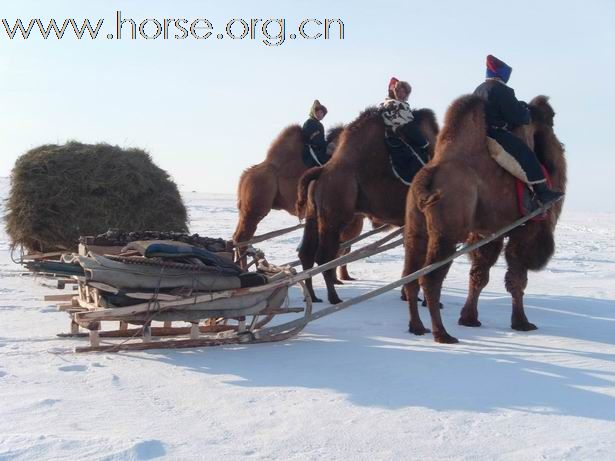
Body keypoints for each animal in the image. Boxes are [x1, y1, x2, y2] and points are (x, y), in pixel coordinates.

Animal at [233, 123, 364, 280]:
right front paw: (338, 278)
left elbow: (345, 248)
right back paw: (244, 270)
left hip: (245, 209)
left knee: (236, 238)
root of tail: (245, 175)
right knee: (243, 239)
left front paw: (345, 277)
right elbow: (342, 248)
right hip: (255, 207)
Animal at [298, 106, 438, 304]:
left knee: (307, 253)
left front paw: (408, 296)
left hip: (314, 214)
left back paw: (313, 296)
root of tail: (322, 171)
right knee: (325, 256)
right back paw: (334, 298)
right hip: (335, 214)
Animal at [404, 96, 568, 342]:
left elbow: (479, 274)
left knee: (411, 276)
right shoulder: (526, 230)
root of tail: (426, 180)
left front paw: (469, 319)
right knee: (430, 279)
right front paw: (522, 323)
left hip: (416, 229)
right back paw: (442, 334)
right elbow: (517, 279)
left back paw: (417, 327)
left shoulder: (488, 233)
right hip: (447, 234)